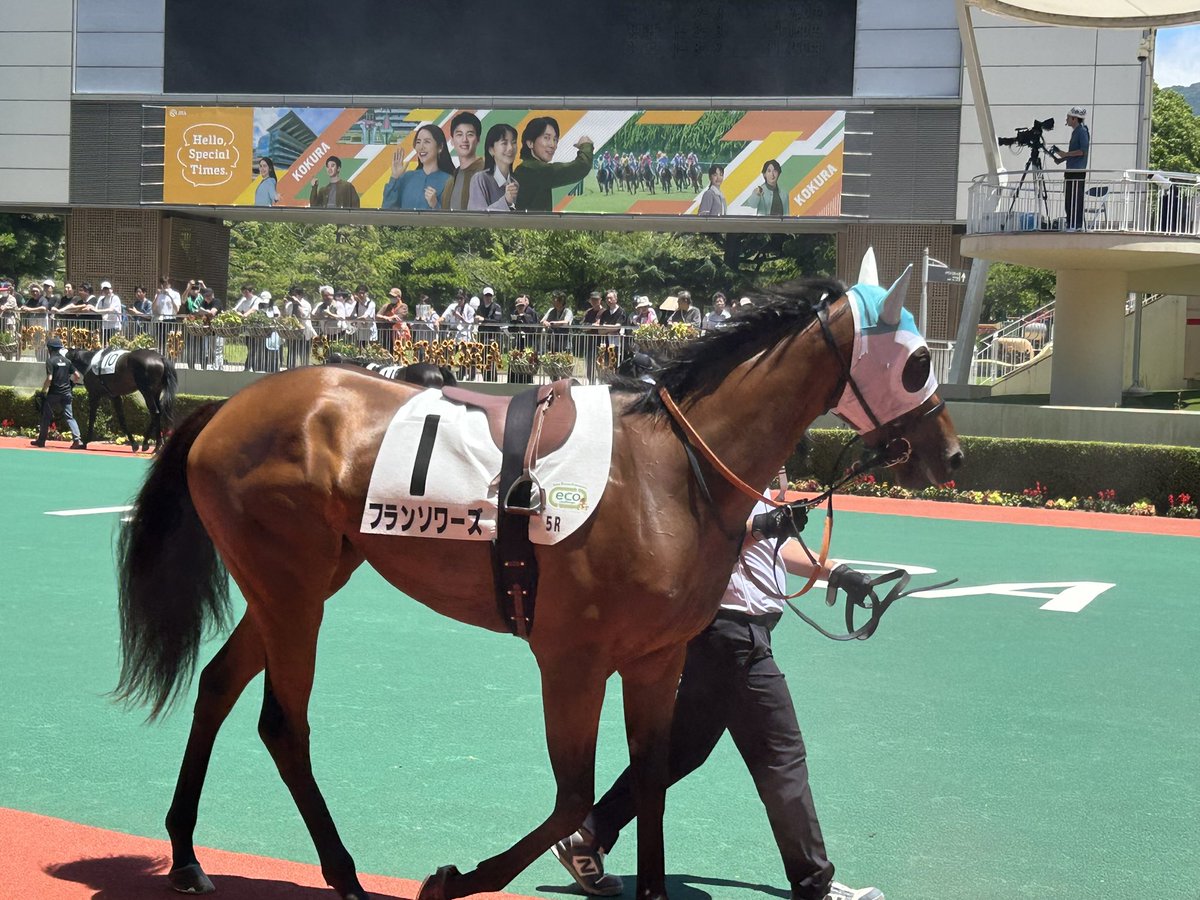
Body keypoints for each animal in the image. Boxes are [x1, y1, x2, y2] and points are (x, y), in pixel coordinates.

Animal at [114, 264, 962, 900]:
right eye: (918, 361)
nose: (950, 455)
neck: (671, 470)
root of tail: (224, 411)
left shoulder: (657, 659)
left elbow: (649, 779)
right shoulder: (572, 659)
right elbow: (575, 799)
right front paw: (455, 879)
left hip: (299, 583)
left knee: (218, 685)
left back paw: (186, 856)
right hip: (291, 591)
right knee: (283, 725)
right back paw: (346, 876)